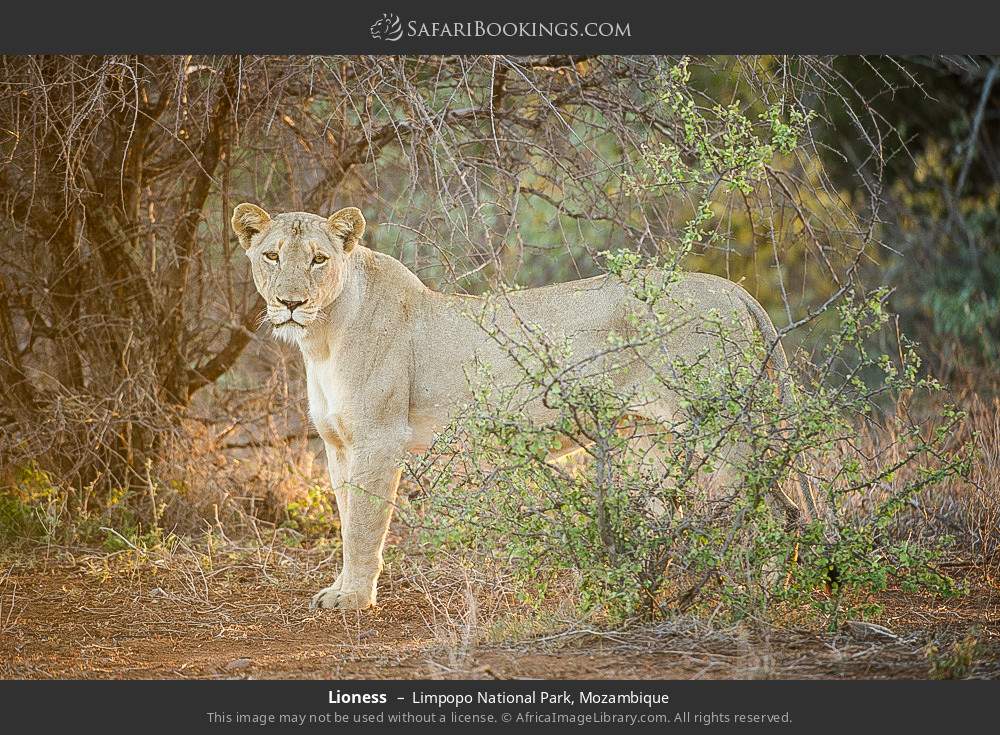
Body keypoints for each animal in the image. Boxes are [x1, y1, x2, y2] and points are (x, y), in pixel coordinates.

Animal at [231, 203, 817, 610]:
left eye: (319, 260)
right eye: (272, 256)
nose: (289, 303)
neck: (322, 339)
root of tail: (733, 291)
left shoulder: (379, 439)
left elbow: (364, 525)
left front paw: (352, 599)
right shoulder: (338, 443)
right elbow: (347, 515)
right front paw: (341, 589)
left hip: (723, 432)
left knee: (775, 510)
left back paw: (761, 595)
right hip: (653, 436)